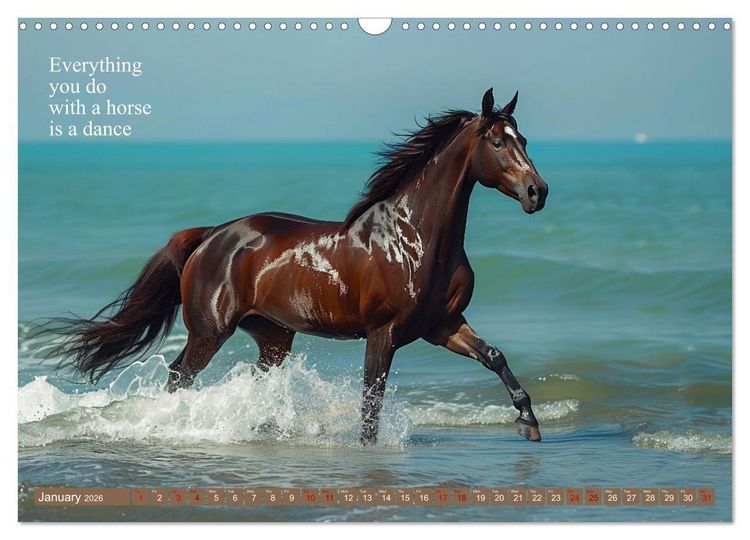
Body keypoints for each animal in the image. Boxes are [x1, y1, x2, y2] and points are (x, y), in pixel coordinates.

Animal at [48, 88, 549, 444]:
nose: (537, 192)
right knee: (178, 377)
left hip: (273, 337)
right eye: (498, 141)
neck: (415, 239)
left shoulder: (441, 324)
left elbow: (494, 356)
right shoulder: (383, 333)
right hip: (209, 332)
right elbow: (371, 401)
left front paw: (528, 420)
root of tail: (210, 236)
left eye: (523, 140)